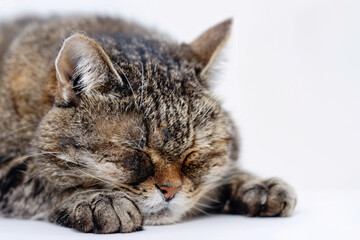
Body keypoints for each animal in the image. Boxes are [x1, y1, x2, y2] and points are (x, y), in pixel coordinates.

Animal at [0, 15, 296, 233]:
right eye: (135, 152)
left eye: (194, 153)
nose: (171, 190)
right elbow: (47, 181)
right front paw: (99, 199)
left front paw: (253, 182)